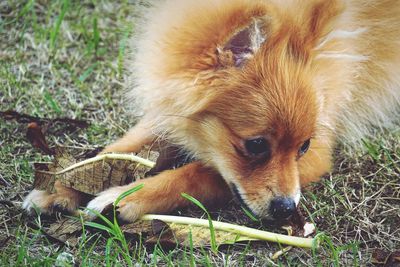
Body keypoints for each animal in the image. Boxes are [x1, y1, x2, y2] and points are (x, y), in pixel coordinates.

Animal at [22, 0, 400, 222]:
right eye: (256, 146)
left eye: (304, 147)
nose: (287, 209)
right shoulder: (171, 110)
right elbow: (115, 151)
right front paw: (61, 185)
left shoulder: (318, 157)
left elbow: (199, 173)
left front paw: (123, 198)